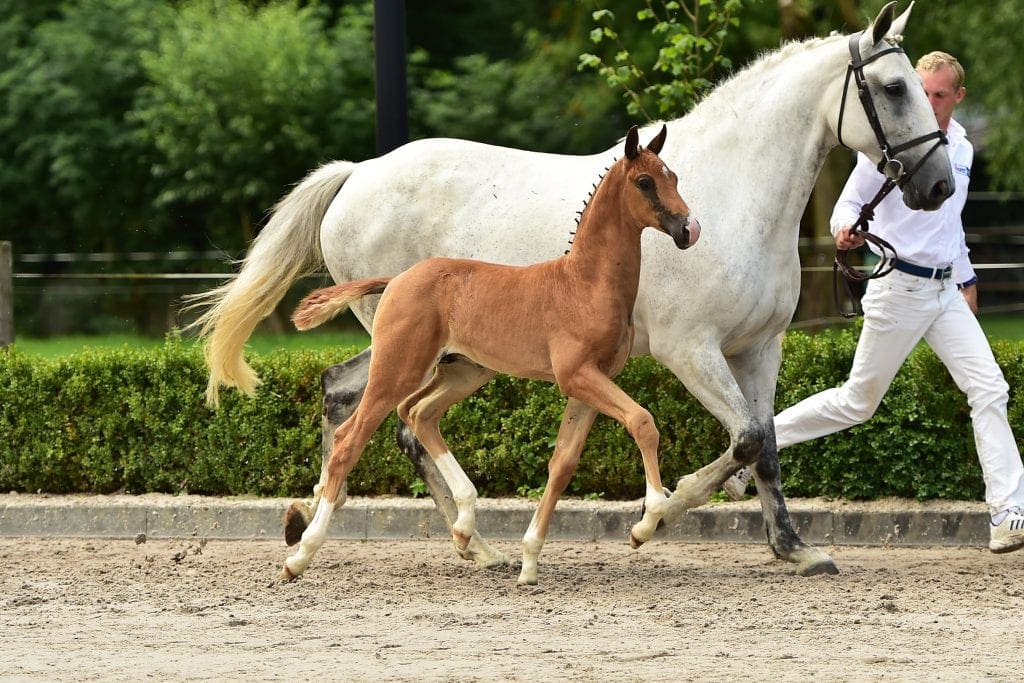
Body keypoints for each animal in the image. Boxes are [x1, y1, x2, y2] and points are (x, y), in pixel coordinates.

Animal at [280, 125, 699, 584]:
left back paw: (466, 527)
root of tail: (397, 280)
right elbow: (643, 422)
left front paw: (530, 561)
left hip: (463, 372)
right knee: (349, 439)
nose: (689, 229)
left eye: (675, 177)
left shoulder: (591, 384)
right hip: (397, 368)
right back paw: (300, 555)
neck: (584, 283)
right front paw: (647, 521)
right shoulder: (577, 376)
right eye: (644, 182)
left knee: (419, 413)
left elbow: (563, 463)